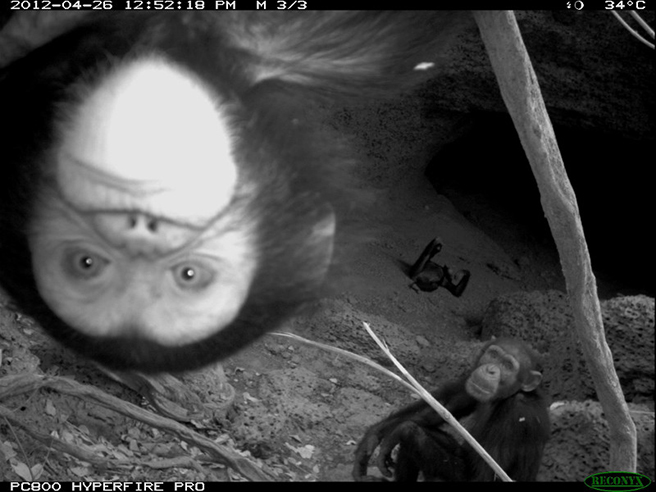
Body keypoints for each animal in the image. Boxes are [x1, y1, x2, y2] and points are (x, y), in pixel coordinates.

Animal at [354, 338, 548, 480]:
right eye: (493, 355)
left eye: (508, 366)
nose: (491, 369)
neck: (508, 395)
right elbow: (443, 405)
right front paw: (370, 439)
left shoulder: (518, 415)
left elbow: (484, 477)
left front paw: (402, 430)